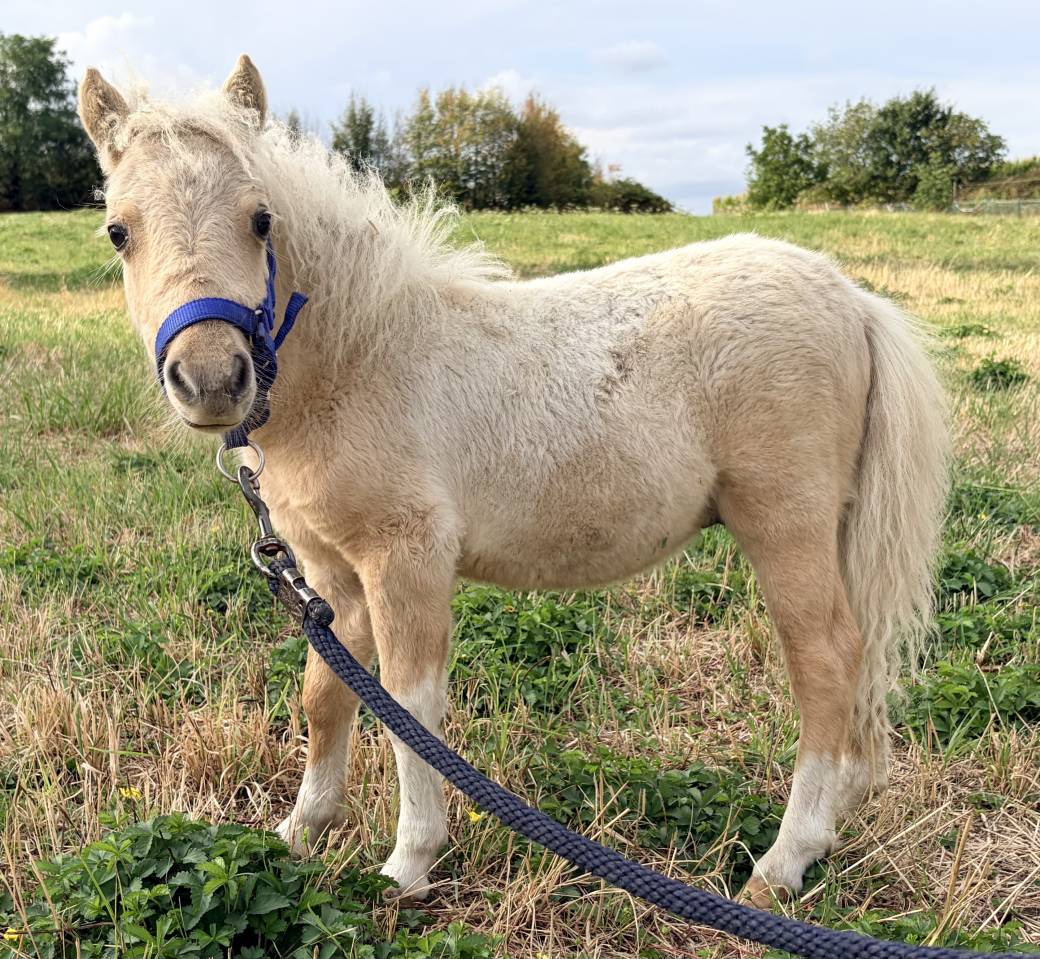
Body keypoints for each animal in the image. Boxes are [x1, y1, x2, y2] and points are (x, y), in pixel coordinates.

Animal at [77, 55, 949, 907]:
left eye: (261, 219)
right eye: (119, 232)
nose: (211, 379)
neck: (360, 362)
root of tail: (852, 299)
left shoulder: (407, 556)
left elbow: (409, 707)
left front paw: (408, 864)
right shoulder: (329, 572)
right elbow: (326, 694)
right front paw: (298, 833)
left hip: (784, 521)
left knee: (826, 660)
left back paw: (782, 862)